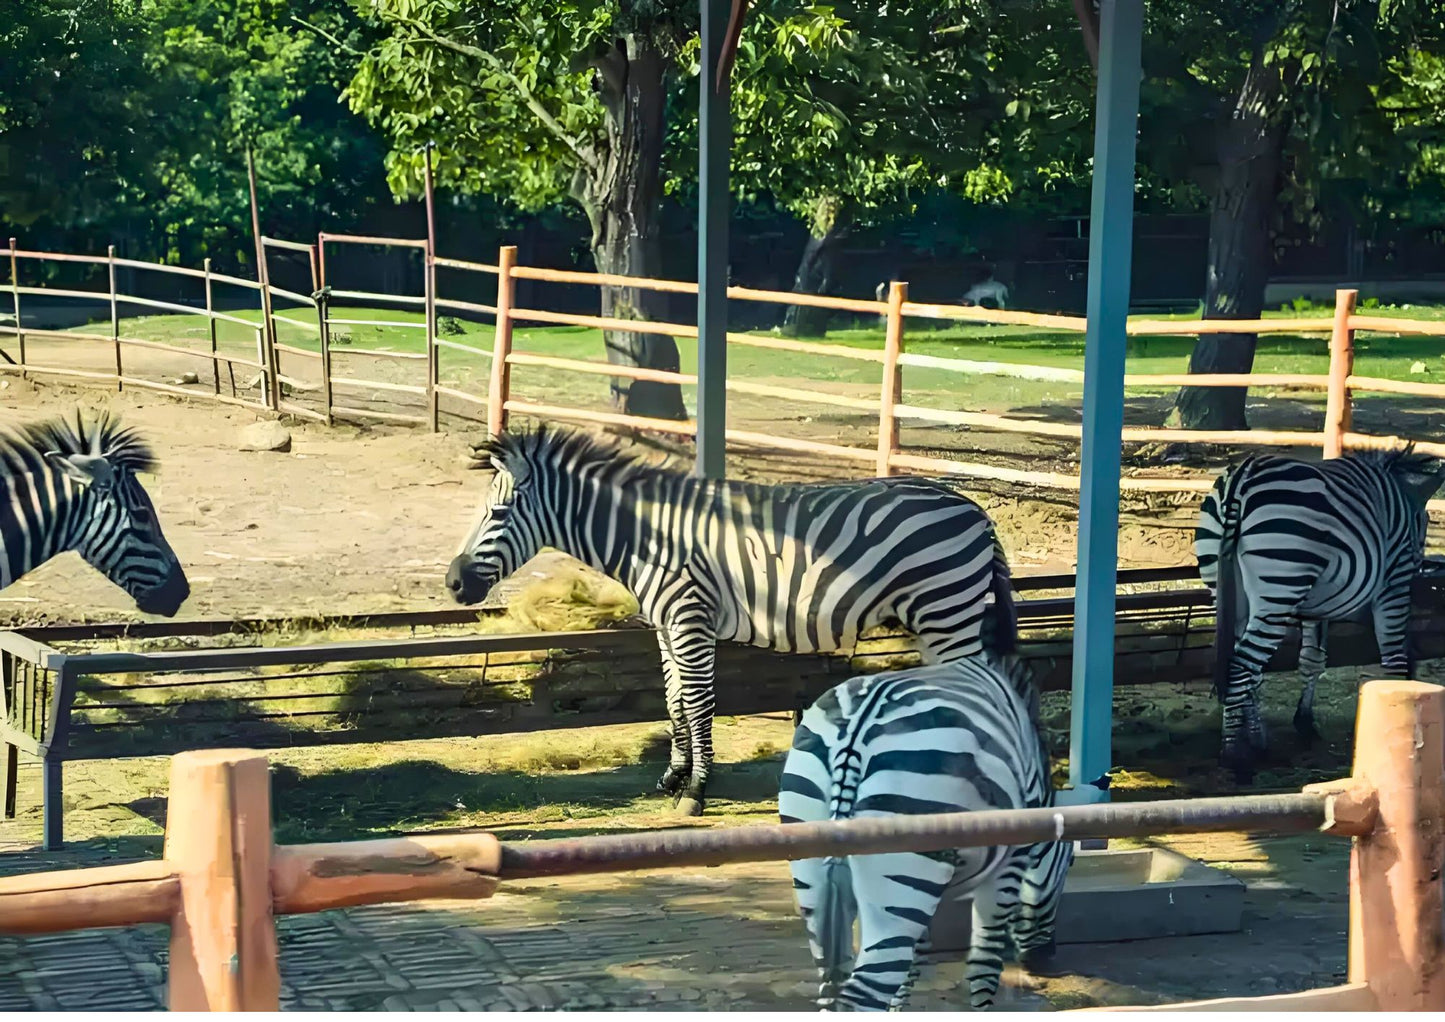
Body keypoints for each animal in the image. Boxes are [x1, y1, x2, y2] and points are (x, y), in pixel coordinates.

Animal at [445, 424, 1023, 815]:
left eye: (496, 515)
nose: (452, 584)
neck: (646, 538)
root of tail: (974, 508)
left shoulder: (690, 616)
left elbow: (699, 704)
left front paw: (696, 793)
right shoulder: (666, 625)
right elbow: (674, 701)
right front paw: (672, 779)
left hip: (946, 609)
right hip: (939, 617)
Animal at [780, 656, 1075, 1017]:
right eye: (1070, 863)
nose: (1046, 962)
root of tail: (857, 726)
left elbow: (912, 965)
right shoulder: (1010, 864)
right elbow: (984, 965)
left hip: (815, 864)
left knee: (832, 981)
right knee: (862, 994)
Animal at [1196, 451, 1445, 786]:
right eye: (1425, 523)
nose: (1422, 564)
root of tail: (1241, 478)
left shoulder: (1316, 604)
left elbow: (1311, 659)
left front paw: (1304, 722)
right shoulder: (1393, 581)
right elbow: (1395, 656)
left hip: (1229, 589)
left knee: (1248, 668)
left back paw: (1256, 740)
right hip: (1281, 583)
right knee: (1241, 665)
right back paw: (1235, 757)